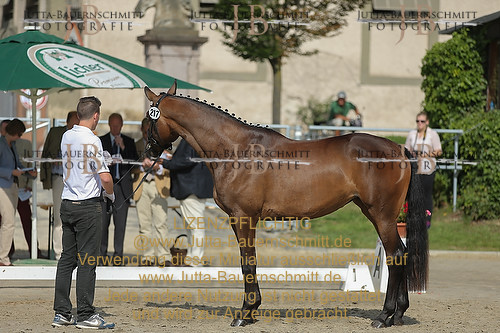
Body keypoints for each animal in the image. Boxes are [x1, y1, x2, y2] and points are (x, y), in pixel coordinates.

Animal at [143, 81, 428, 326]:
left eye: (147, 121)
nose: (148, 153)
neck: (236, 150)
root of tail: (399, 149)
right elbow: (250, 260)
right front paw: (252, 310)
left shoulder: (243, 216)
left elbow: (248, 261)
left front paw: (245, 312)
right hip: (377, 214)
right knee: (402, 254)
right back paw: (398, 314)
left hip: (382, 216)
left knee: (395, 255)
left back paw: (384, 315)